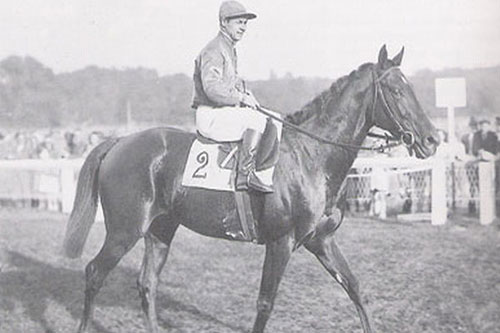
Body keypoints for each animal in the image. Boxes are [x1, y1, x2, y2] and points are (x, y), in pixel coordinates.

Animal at [63, 44, 442, 332]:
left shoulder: (321, 240)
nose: (432, 139)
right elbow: (265, 303)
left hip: (160, 230)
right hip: (125, 230)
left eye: (411, 88)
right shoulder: (281, 242)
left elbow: (354, 287)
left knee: (146, 284)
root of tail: (119, 141)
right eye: (396, 91)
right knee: (94, 273)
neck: (311, 156)